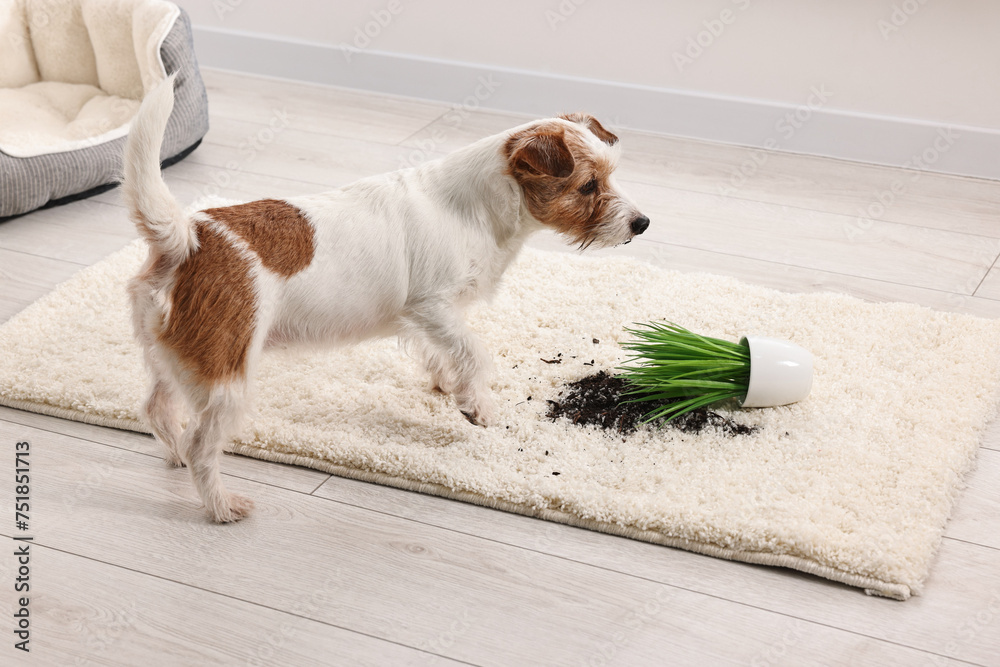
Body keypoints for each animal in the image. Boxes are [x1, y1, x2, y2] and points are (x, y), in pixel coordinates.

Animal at [121, 74, 652, 520]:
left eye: (611, 175)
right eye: (588, 185)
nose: (642, 223)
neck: (475, 206)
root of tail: (188, 238)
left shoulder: (426, 320)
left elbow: (443, 352)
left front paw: (449, 385)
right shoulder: (433, 306)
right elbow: (475, 350)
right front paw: (476, 405)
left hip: (177, 359)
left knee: (157, 410)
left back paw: (172, 457)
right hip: (225, 375)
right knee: (201, 446)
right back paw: (222, 505)